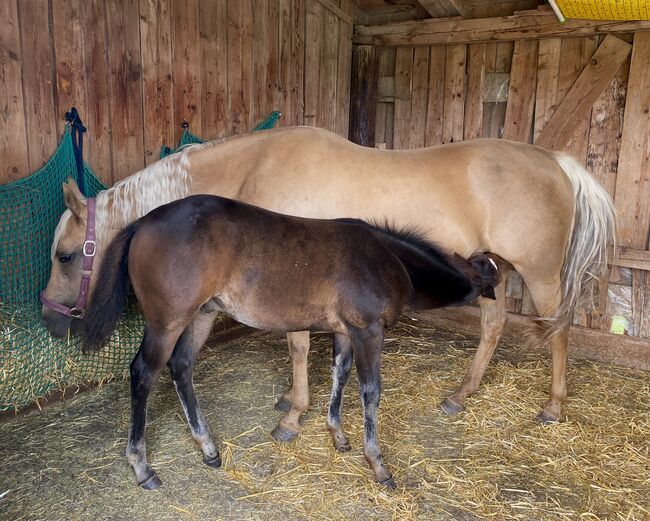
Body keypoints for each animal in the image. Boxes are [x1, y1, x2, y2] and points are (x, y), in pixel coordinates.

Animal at [40, 125, 612, 426]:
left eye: (65, 255)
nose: (51, 320)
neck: (256, 167)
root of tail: (556, 162)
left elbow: (296, 346)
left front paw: (294, 414)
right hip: (494, 270)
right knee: (493, 327)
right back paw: (461, 393)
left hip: (539, 274)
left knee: (558, 330)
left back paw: (554, 405)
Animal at [78, 192, 498, 488]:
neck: (387, 258)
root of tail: (141, 222)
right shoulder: (368, 332)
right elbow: (370, 391)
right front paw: (377, 463)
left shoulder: (345, 332)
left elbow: (339, 375)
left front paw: (337, 436)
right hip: (167, 323)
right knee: (143, 373)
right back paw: (142, 466)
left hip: (202, 315)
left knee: (181, 368)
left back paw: (208, 448)